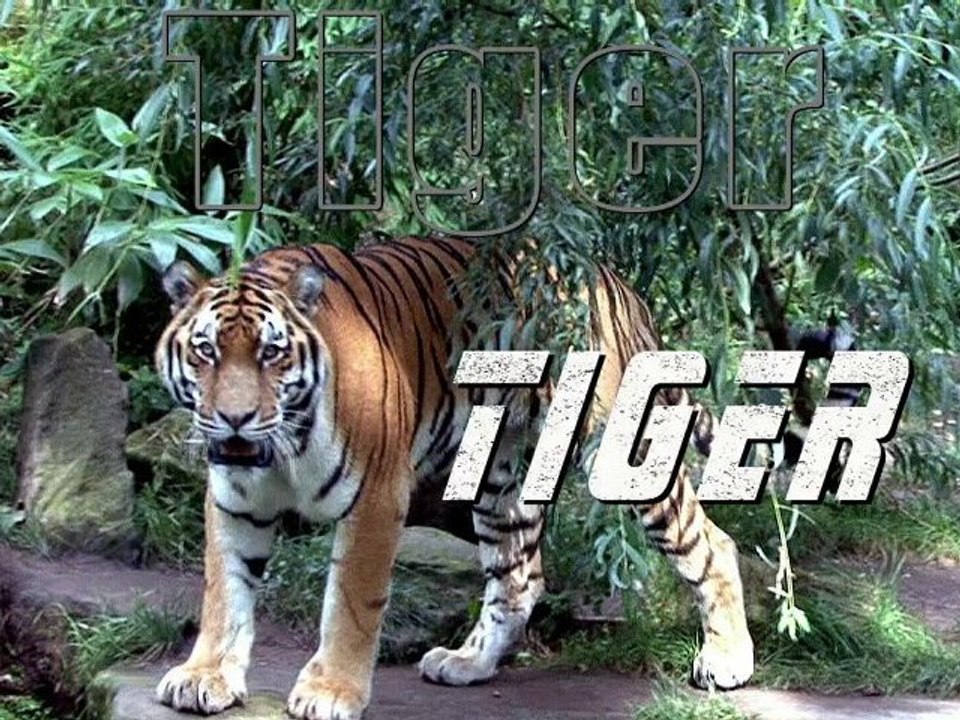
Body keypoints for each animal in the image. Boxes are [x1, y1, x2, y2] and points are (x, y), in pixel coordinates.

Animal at [153, 235, 754, 720]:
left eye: (271, 353)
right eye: (206, 351)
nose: (234, 418)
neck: (282, 449)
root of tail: (612, 281)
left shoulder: (376, 496)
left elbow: (350, 603)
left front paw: (331, 692)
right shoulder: (233, 498)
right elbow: (224, 591)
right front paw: (205, 677)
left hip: (621, 453)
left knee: (712, 542)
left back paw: (727, 660)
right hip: (501, 478)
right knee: (519, 578)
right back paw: (469, 662)